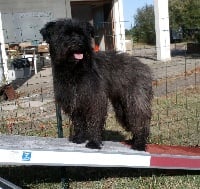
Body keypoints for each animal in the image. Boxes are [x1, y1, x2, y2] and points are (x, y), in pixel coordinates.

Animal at [40, 18, 153, 151]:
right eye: (65, 34)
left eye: (82, 34)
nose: (79, 43)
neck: (74, 69)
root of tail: (143, 66)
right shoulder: (75, 101)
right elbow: (78, 122)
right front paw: (79, 138)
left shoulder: (94, 100)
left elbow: (94, 121)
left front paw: (94, 142)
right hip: (121, 107)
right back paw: (134, 140)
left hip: (135, 102)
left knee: (140, 120)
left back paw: (139, 144)